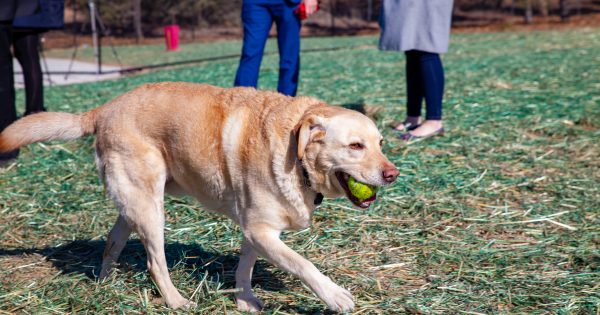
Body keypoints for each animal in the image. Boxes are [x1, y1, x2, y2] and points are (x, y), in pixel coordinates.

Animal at [0, 83, 398, 314]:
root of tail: (102, 110)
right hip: (152, 209)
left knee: (112, 241)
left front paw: (244, 301)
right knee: (154, 262)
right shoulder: (261, 231)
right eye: (355, 146)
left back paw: (104, 284)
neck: (296, 155)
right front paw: (335, 296)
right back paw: (176, 301)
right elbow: (303, 264)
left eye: (380, 143)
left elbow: (244, 267)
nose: (392, 174)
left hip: (134, 203)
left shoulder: (254, 230)